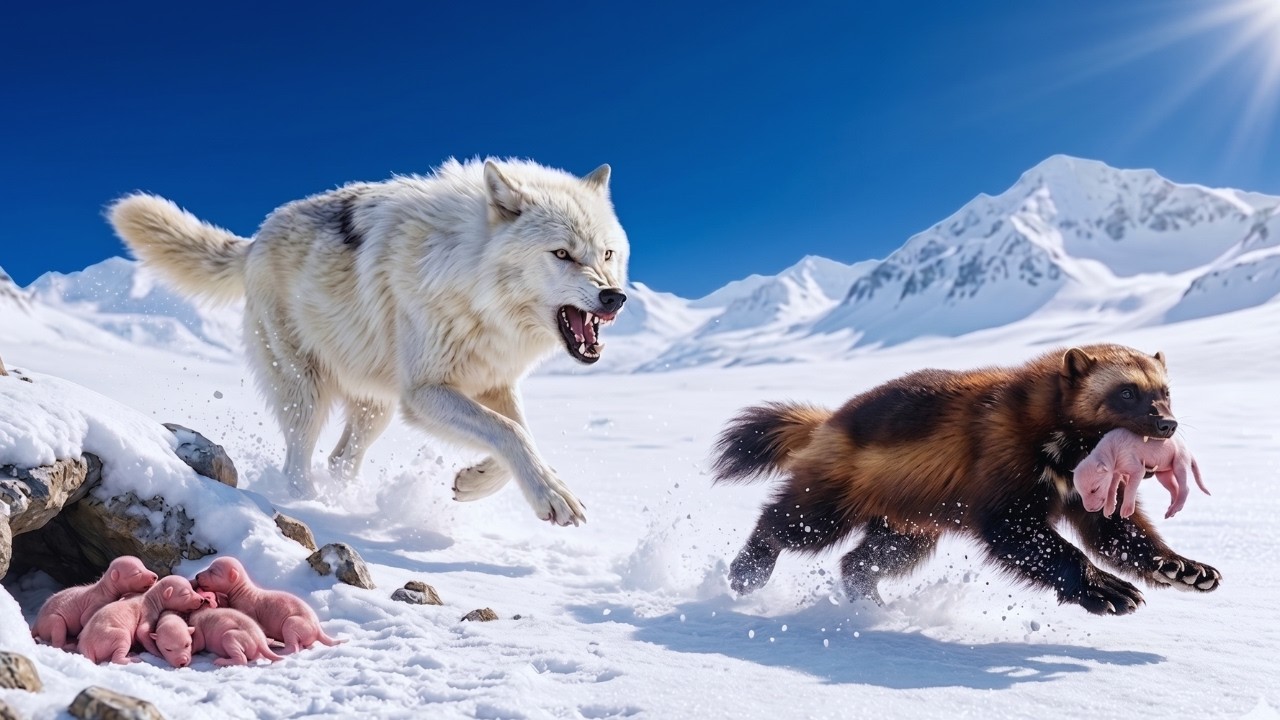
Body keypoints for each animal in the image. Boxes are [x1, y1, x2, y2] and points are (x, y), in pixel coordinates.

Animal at [109, 158, 629, 526]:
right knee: (298, 463)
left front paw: (476, 481)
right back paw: (314, 508)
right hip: (307, 392)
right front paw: (553, 496)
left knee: (340, 460)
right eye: (561, 254)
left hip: (374, 406)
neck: (473, 284)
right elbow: (509, 431)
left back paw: (342, 503)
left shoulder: (492, 380)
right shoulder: (423, 394)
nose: (616, 297)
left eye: (606, 254)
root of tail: (254, 239)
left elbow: (519, 433)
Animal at [712, 344, 1221, 615]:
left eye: (1165, 391)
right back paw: (746, 573)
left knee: (863, 560)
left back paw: (872, 604)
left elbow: (1119, 533)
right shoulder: (1004, 471)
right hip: (834, 497)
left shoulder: (1086, 492)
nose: (1167, 424)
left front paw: (1186, 568)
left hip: (907, 526)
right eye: (1127, 392)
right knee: (786, 523)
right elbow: (1026, 537)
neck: (1062, 450)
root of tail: (828, 422)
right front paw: (1104, 589)